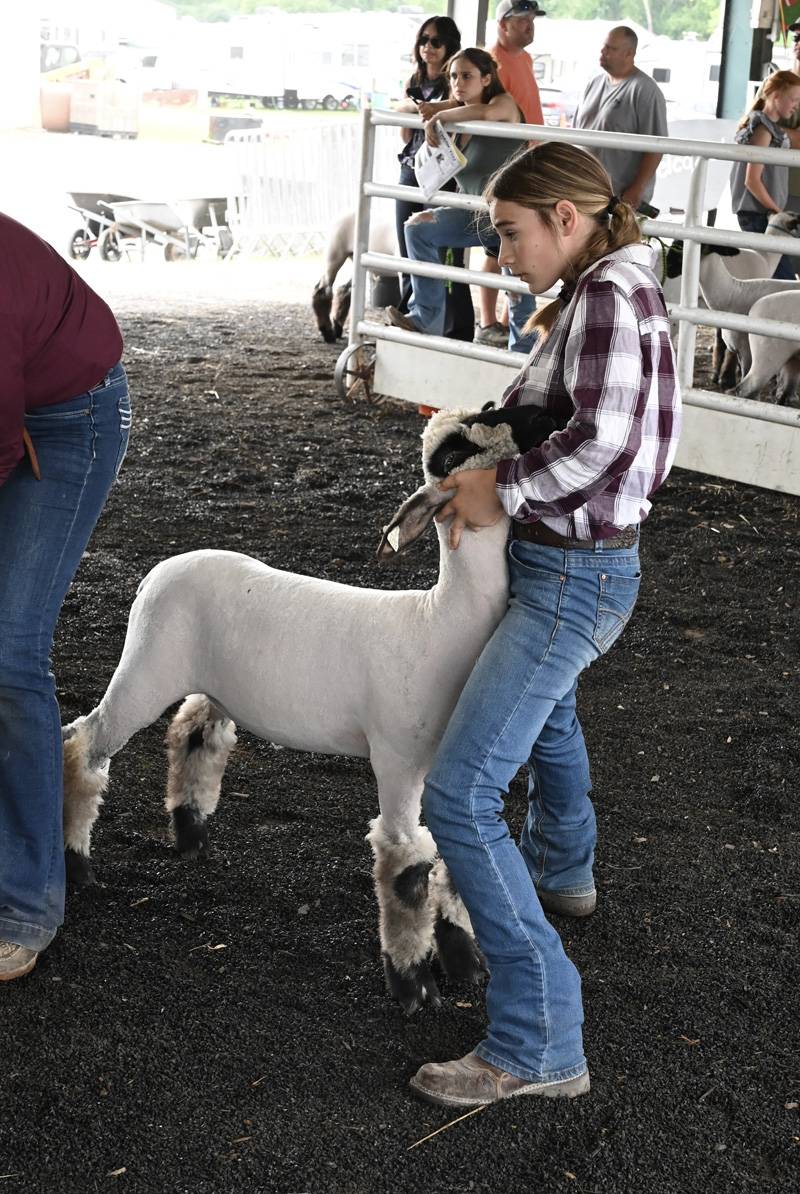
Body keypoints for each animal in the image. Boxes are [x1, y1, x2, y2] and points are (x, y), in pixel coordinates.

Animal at [61, 413, 525, 1017]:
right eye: (454, 451)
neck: (441, 621)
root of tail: (157, 570)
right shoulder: (397, 759)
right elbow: (407, 866)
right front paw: (412, 984)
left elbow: (452, 857)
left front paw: (464, 962)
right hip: (145, 667)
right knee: (83, 744)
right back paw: (77, 867)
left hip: (218, 683)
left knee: (193, 732)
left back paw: (192, 838)